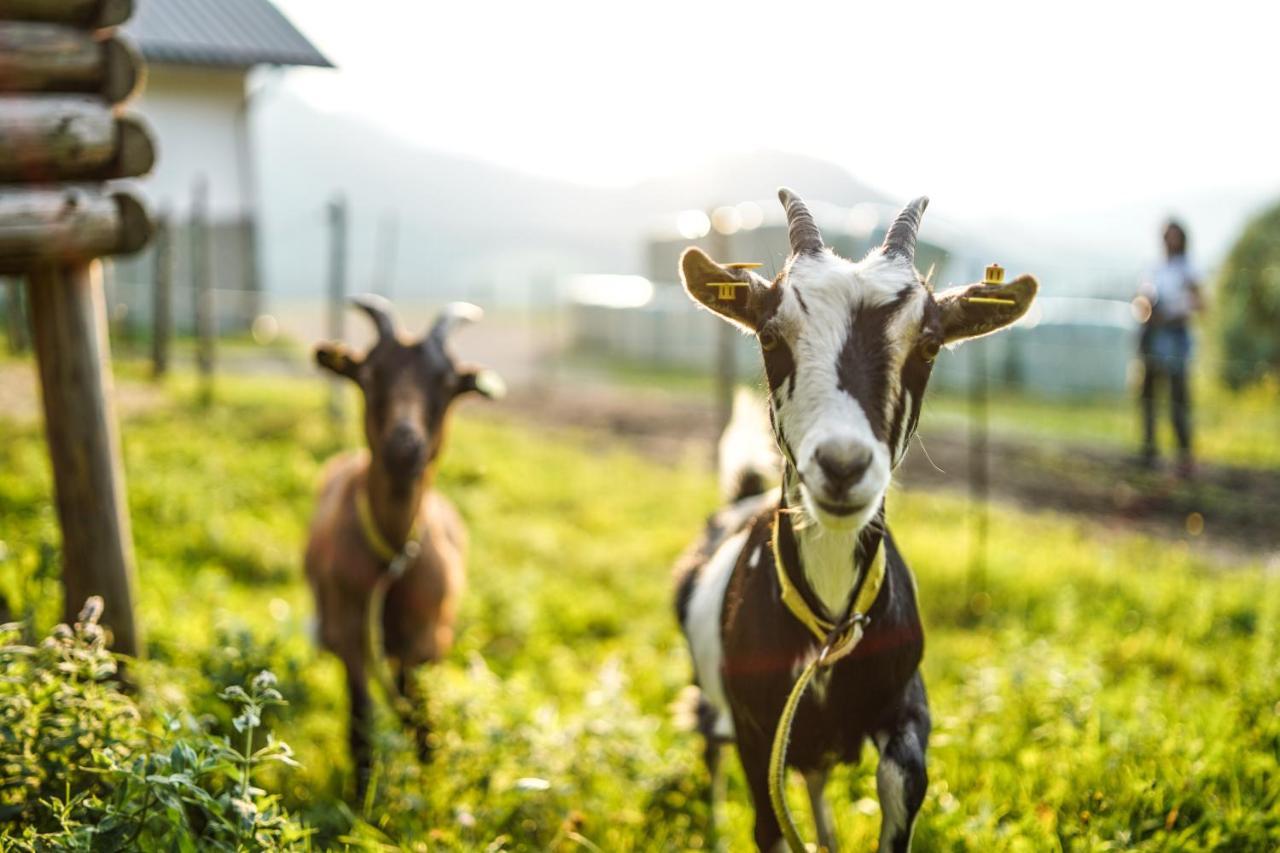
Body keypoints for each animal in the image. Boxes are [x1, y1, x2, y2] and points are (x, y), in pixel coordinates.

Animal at [307, 295, 501, 794]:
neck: (392, 557)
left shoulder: (423, 638)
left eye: (449, 382)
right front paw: (361, 795)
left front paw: (427, 783)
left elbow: (418, 715)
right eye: (370, 373)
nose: (404, 446)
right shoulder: (350, 627)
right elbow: (361, 718)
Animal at [675, 189, 1034, 845]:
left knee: (814, 778)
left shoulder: (907, 701)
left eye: (930, 344)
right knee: (711, 754)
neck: (827, 634)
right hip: (709, 696)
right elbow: (769, 824)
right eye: (770, 336)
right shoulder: (756, 730)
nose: (843, 465)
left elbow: (899, 782)